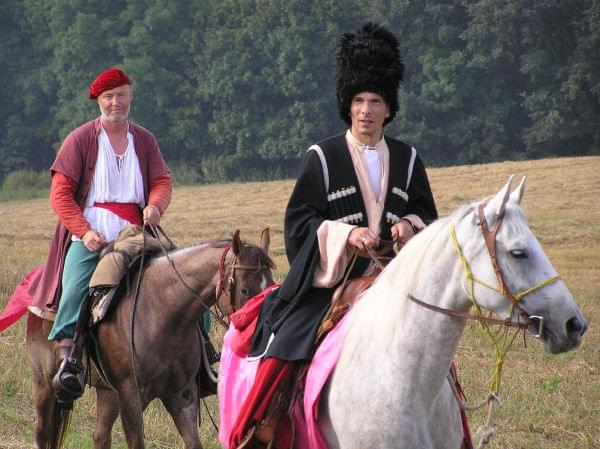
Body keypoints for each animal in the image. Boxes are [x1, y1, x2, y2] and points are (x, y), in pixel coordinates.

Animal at [26, 228, 275, 449]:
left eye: (272, 286)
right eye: (244, 290)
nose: (260, 341)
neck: (164, 312)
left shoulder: (182, 395)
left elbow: (193, 442)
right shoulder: (131, 397)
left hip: (107, 391)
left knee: (100, 436)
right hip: (44, 383)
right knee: (42, 431)